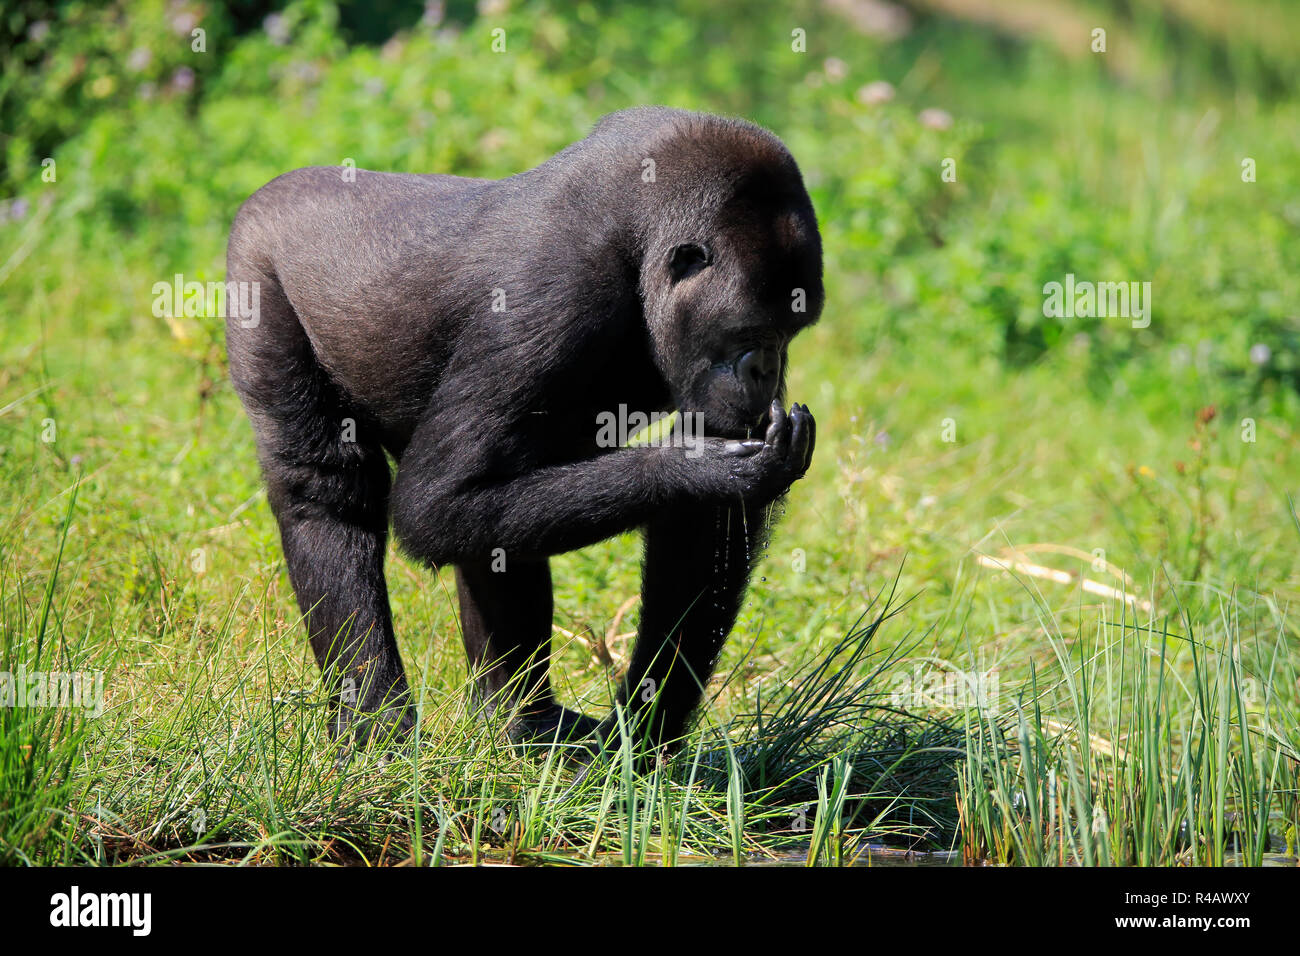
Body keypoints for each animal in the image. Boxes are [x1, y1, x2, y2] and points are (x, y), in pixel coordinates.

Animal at [224, 106, 822, 759]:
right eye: (751, 332)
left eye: (791, 331)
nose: (767, 371)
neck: (638, 243)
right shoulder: (555, 298)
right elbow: (435, 505)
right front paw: (697, 464)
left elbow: (703, 526)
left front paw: (642, 735)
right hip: (256, 266)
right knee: (326, 491)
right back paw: (378, 716)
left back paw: (517, 720)